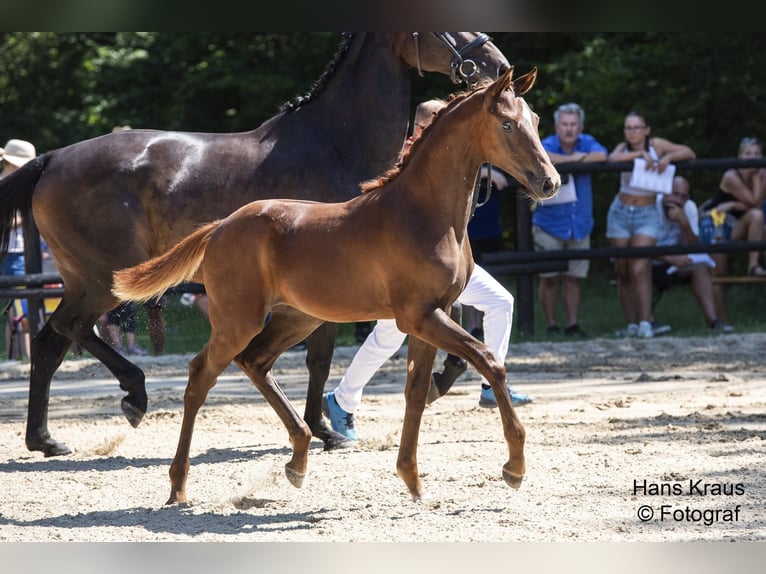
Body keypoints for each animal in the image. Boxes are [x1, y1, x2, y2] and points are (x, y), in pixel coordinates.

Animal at [0, 35, 510, 460]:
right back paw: (132, 396)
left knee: (50, 342)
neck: (336, 143)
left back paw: (45, 439)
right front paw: (325, 429)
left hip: (83, 280)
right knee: (67, 329)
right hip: (102, 280)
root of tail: (51, 160)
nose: (496, 63)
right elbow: (320, 356)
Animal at [112, 67, 560, 504]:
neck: (422, 214)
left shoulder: (434, 314)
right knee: (199, 377)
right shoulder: (419, 316)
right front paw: (514, 467)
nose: (549, 182)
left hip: (297, 318)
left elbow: (416, 392)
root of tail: (221, 226)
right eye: (506, 124)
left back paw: (298, 459)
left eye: (537, 120)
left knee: (255, 362)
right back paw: (178, 485)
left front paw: (412, 479)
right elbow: (490, 361)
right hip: (238, 321)